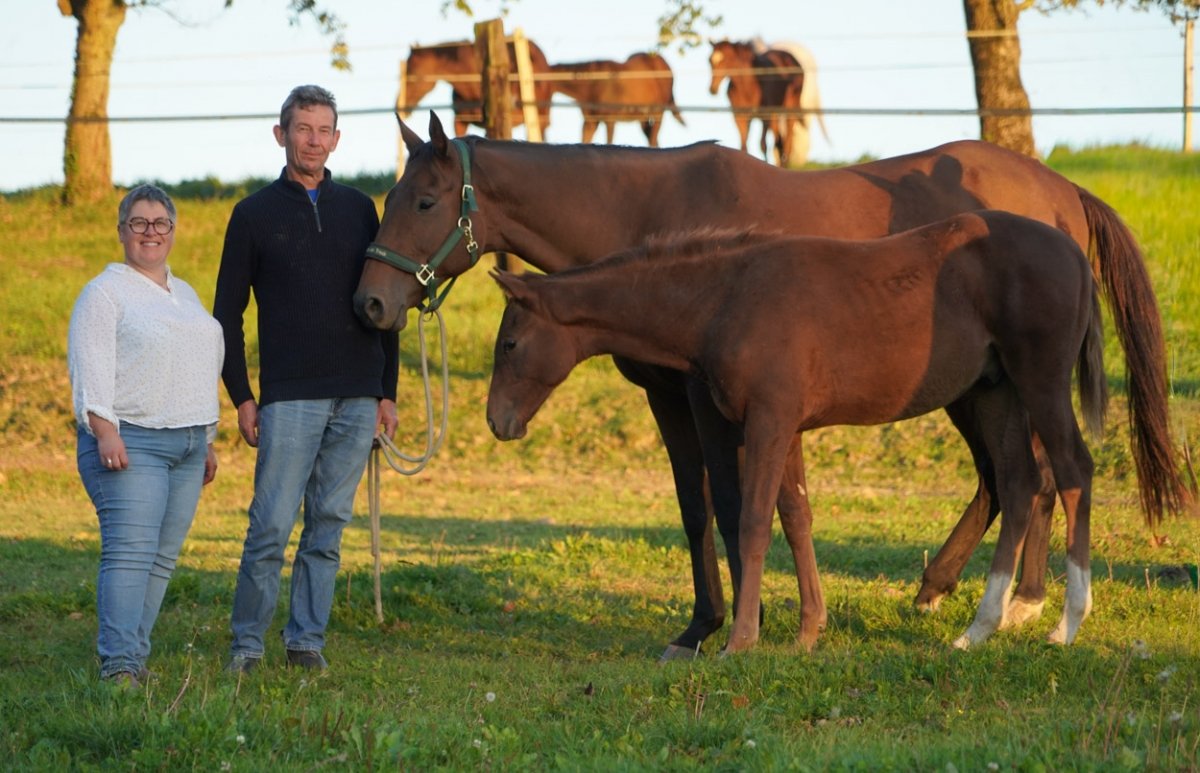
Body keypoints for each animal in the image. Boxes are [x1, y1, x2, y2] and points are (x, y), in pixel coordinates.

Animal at [485, 213, 1115, 652]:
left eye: (510, 343)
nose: (498, 421)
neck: (725, 297)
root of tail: (1074, 252)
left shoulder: (766, 420)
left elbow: (751, 523)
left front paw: (740, 641)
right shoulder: (786, 427)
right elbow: (796, 517)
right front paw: (810, 630)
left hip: (1039, 382)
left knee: (1072, 472)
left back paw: (1067, 623)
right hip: (995, 392)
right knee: (1019, 484)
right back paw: (979, 629)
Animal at [548, 53, 686, 147]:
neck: (592, 85)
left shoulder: (610, 119)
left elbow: (609, 142)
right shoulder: (590, 121)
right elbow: (584, 141)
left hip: (658, 112)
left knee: (653, 139)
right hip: (643, 117)